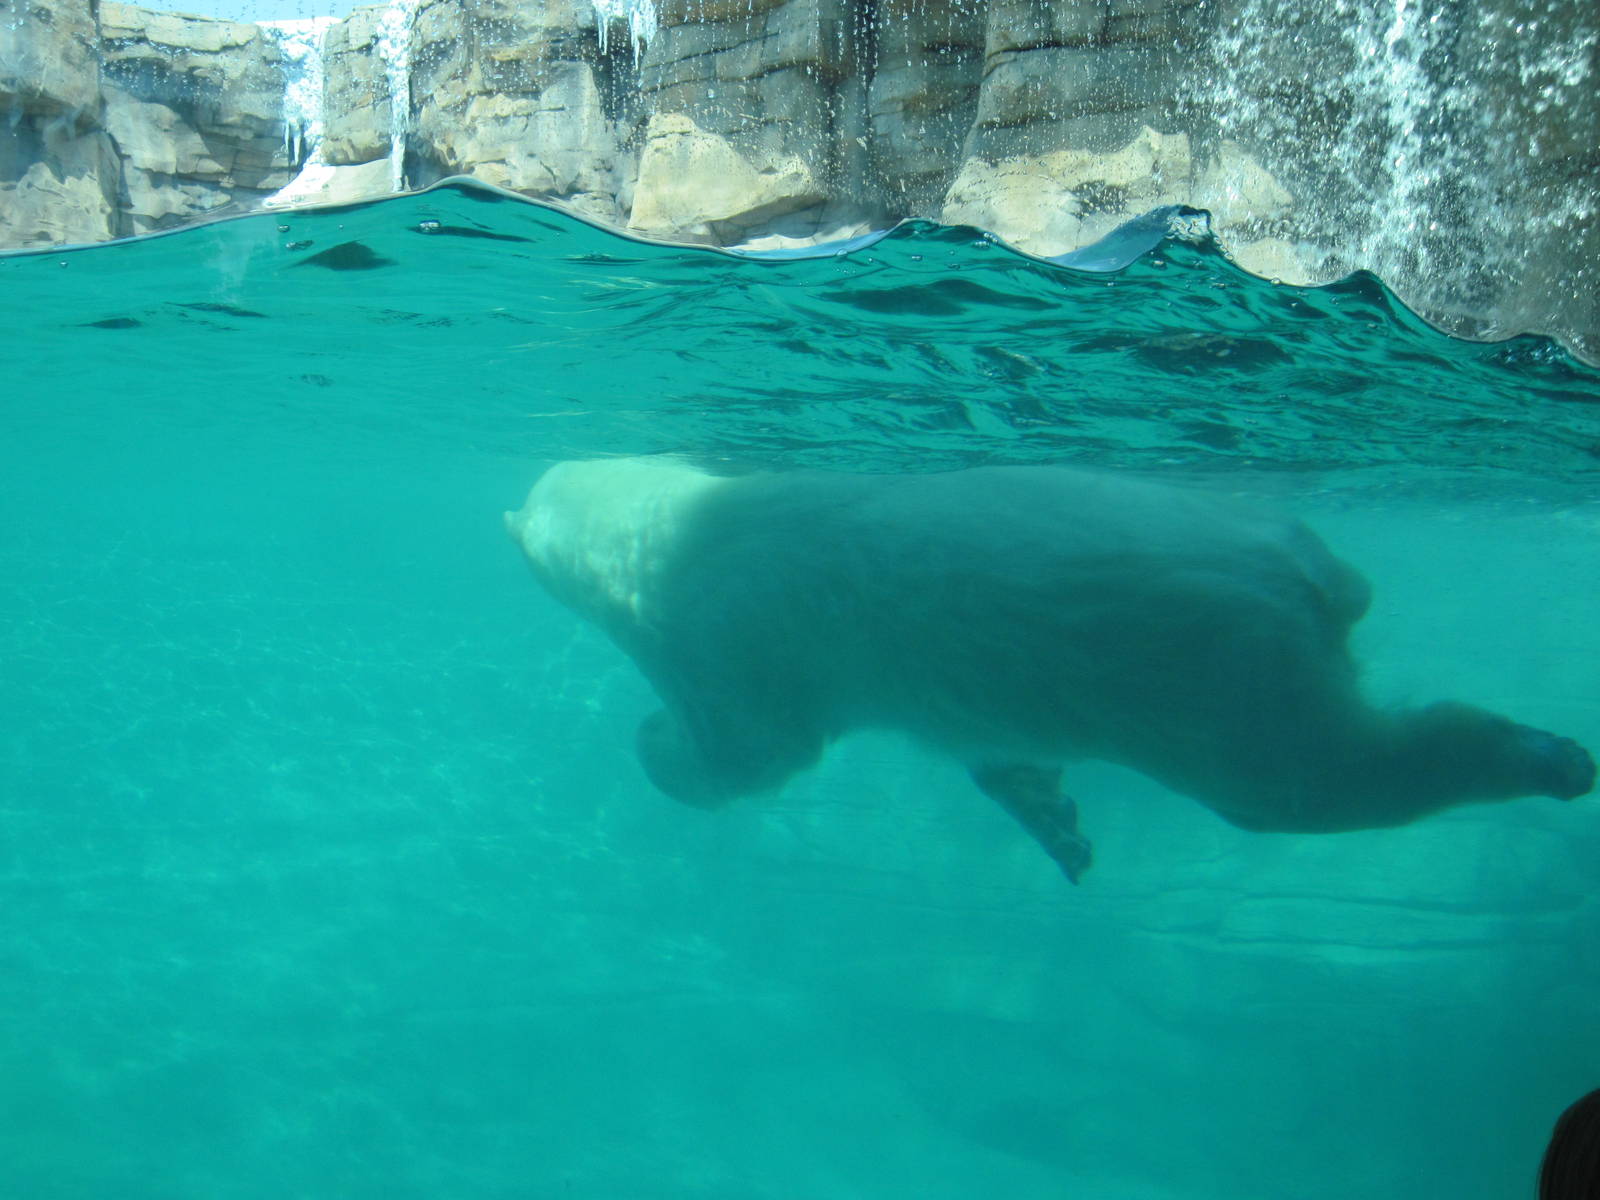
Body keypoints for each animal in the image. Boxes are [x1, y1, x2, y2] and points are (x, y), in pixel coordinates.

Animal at [506, 457, 1594, 882]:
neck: (673, 522)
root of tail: (1305, 580)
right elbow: (1002, 756)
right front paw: (1053, 820)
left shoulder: (730, 635)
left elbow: (751, 751)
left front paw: (654, 739)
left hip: (1214, 677)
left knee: (1315, 780)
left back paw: (1544, 755)